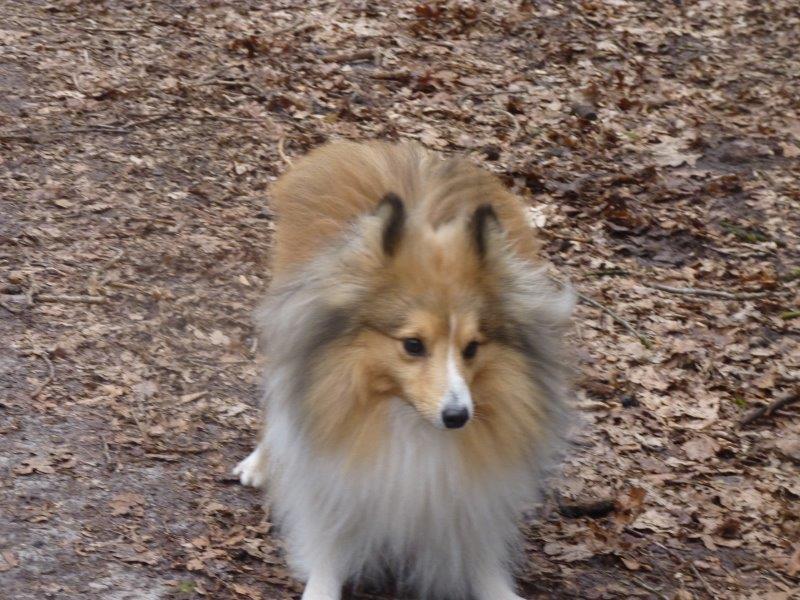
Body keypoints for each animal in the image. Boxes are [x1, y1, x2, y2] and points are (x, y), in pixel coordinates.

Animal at [234, 141, 572, 600]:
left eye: (472, 347)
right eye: (413, 345)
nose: (457, 417)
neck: (405, 420)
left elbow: (481, 556)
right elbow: (329, 543)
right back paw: (258, 463)